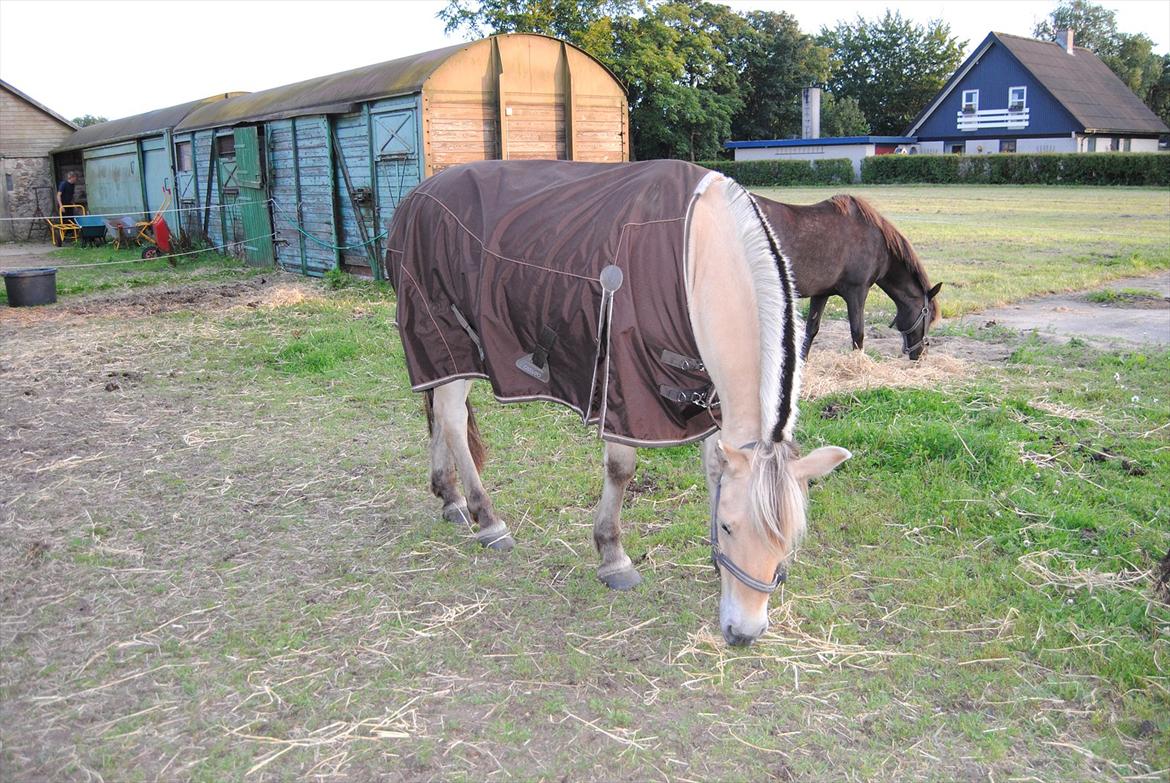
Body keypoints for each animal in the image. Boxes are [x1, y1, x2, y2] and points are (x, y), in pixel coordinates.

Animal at [383, 155, 851, 646]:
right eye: (728, 526)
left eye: (789, 540)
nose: (744, 632)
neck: (696, 257)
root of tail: (416, 197)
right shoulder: (626, 385)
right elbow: (621, 469)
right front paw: (612, 556)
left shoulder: (707, 399)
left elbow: (712, 469)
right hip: (445, 334)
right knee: (452, 418)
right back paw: (487, 518)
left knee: (439, 414)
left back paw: (449, 497)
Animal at [758, 194, 940, 358]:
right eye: (929, 316)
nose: (921, 355)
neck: (878, 243)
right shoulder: (857, 292)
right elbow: (857, 334)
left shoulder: (821, 294)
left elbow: (812, 329)